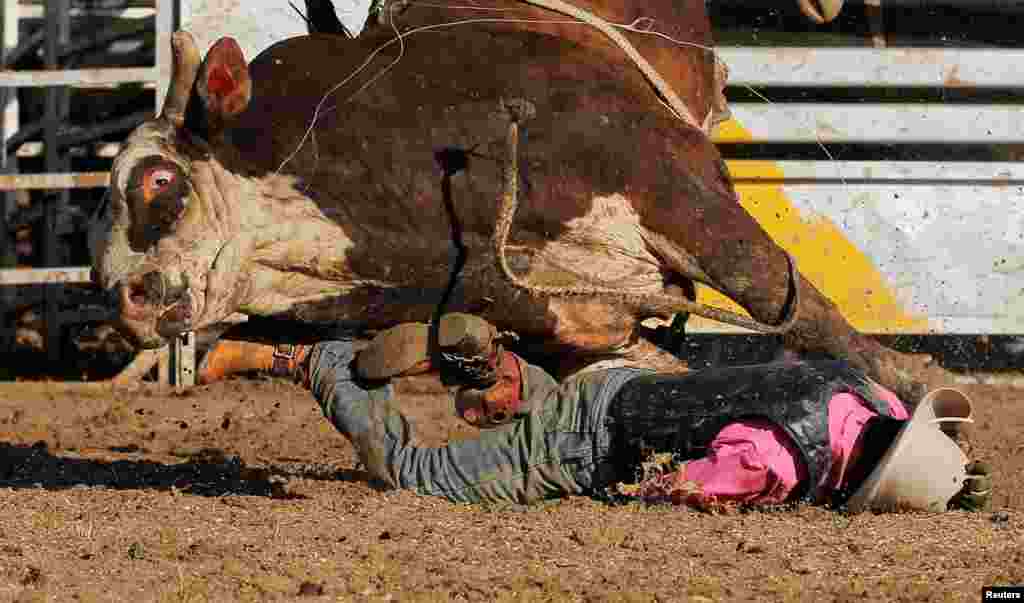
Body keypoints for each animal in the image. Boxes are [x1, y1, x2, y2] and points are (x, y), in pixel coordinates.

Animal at [96, 0, 942, 399]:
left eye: (160, 183)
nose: (120, 295)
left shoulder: (665, 175)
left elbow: (780, 294)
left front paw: (925, 386)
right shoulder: (547, 306)